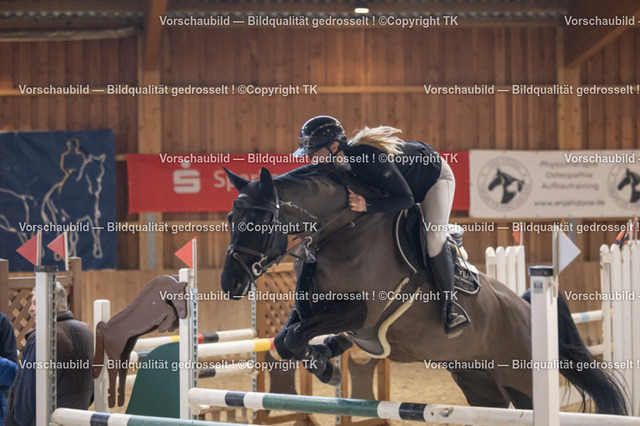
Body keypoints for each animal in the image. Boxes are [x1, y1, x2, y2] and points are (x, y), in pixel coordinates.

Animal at [220, 165, 628, 415]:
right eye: (231, 217)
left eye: (258, 220)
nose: (229, 283)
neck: (344, 228)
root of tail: (526, 308)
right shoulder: (316, 309)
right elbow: (289, 336)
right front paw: (323, 363)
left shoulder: (363, 312)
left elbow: (293, 338)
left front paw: (324, 363)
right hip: (478, 381)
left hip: (522, 378)